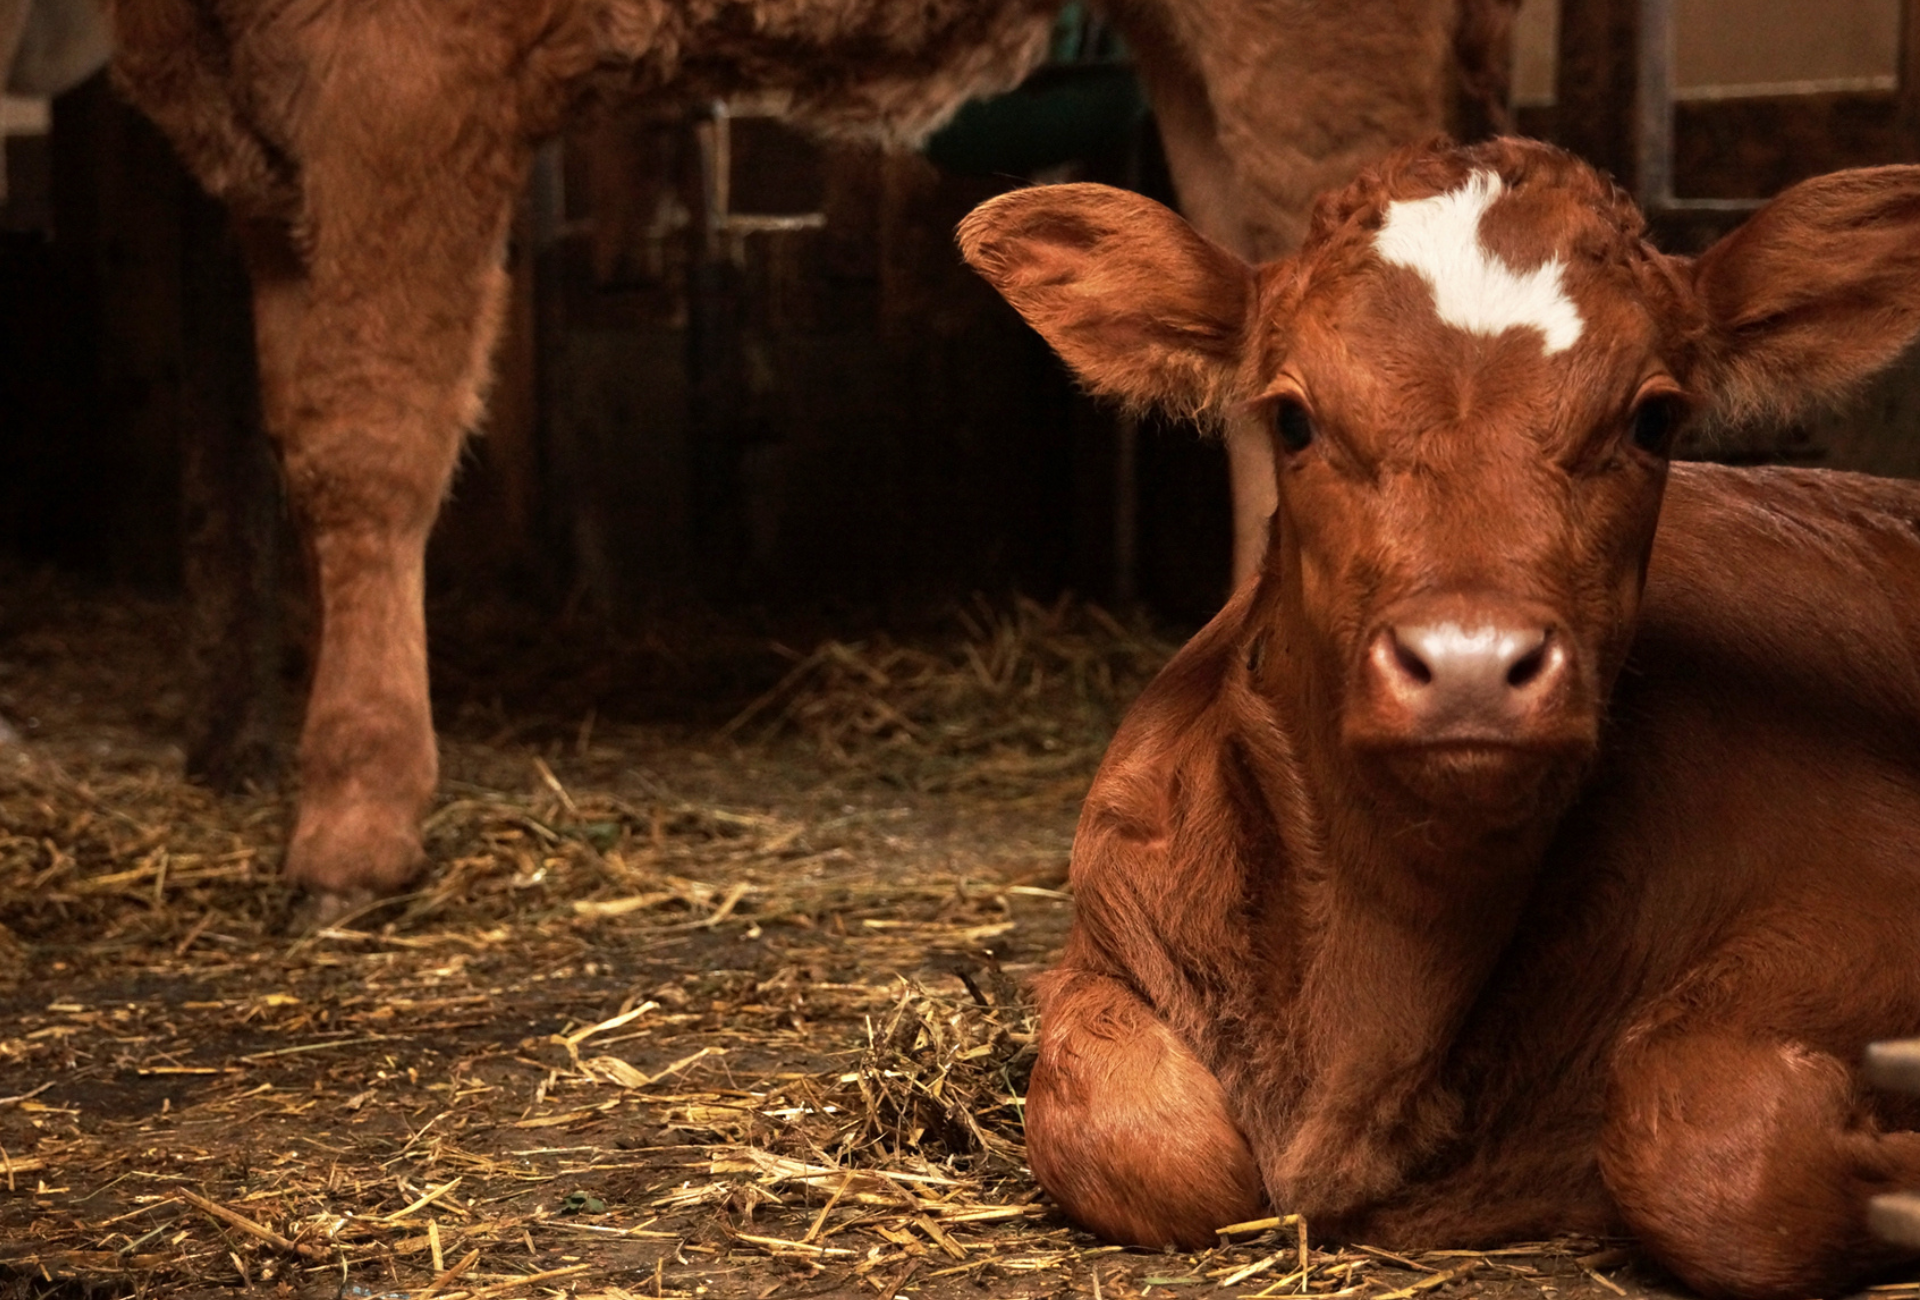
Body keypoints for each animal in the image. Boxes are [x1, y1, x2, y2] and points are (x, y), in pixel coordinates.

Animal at [956, 136, 1920, 1299]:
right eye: (1293, 417)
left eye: (1653, 419)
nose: (1469, 664)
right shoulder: (1105, 945)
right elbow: (1137, 1137)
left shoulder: (1869, 899)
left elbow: (1710, 1154)